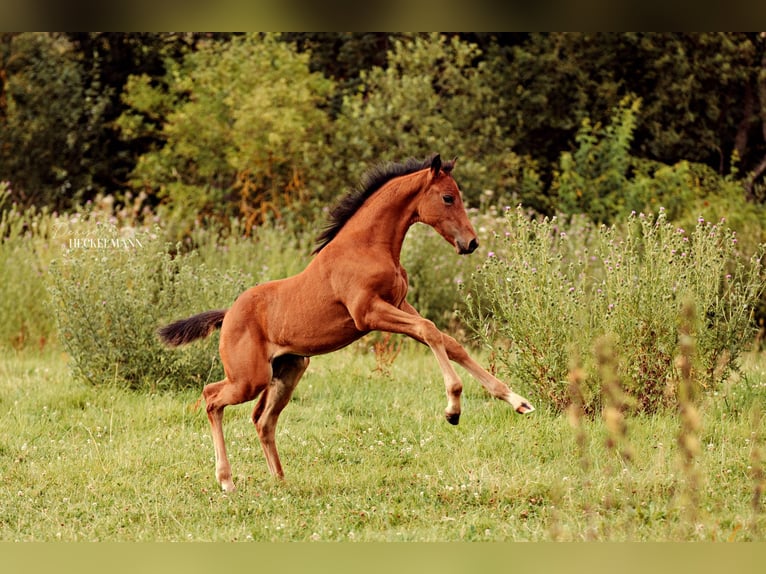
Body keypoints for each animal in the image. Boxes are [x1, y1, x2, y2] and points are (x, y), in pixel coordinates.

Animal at [160, 155, 536, 492]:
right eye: (448, 197)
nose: (470, 243)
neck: (368, 245)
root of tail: (228, 314)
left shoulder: (399, 304)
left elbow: (449, 342)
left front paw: (517, 401)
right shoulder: (368, 313)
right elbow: (429, 330)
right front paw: (453, 408)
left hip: (288, 370)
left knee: (262, 420)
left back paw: (280, 480)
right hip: (249, 378)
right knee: (211, 397)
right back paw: (226, 481)